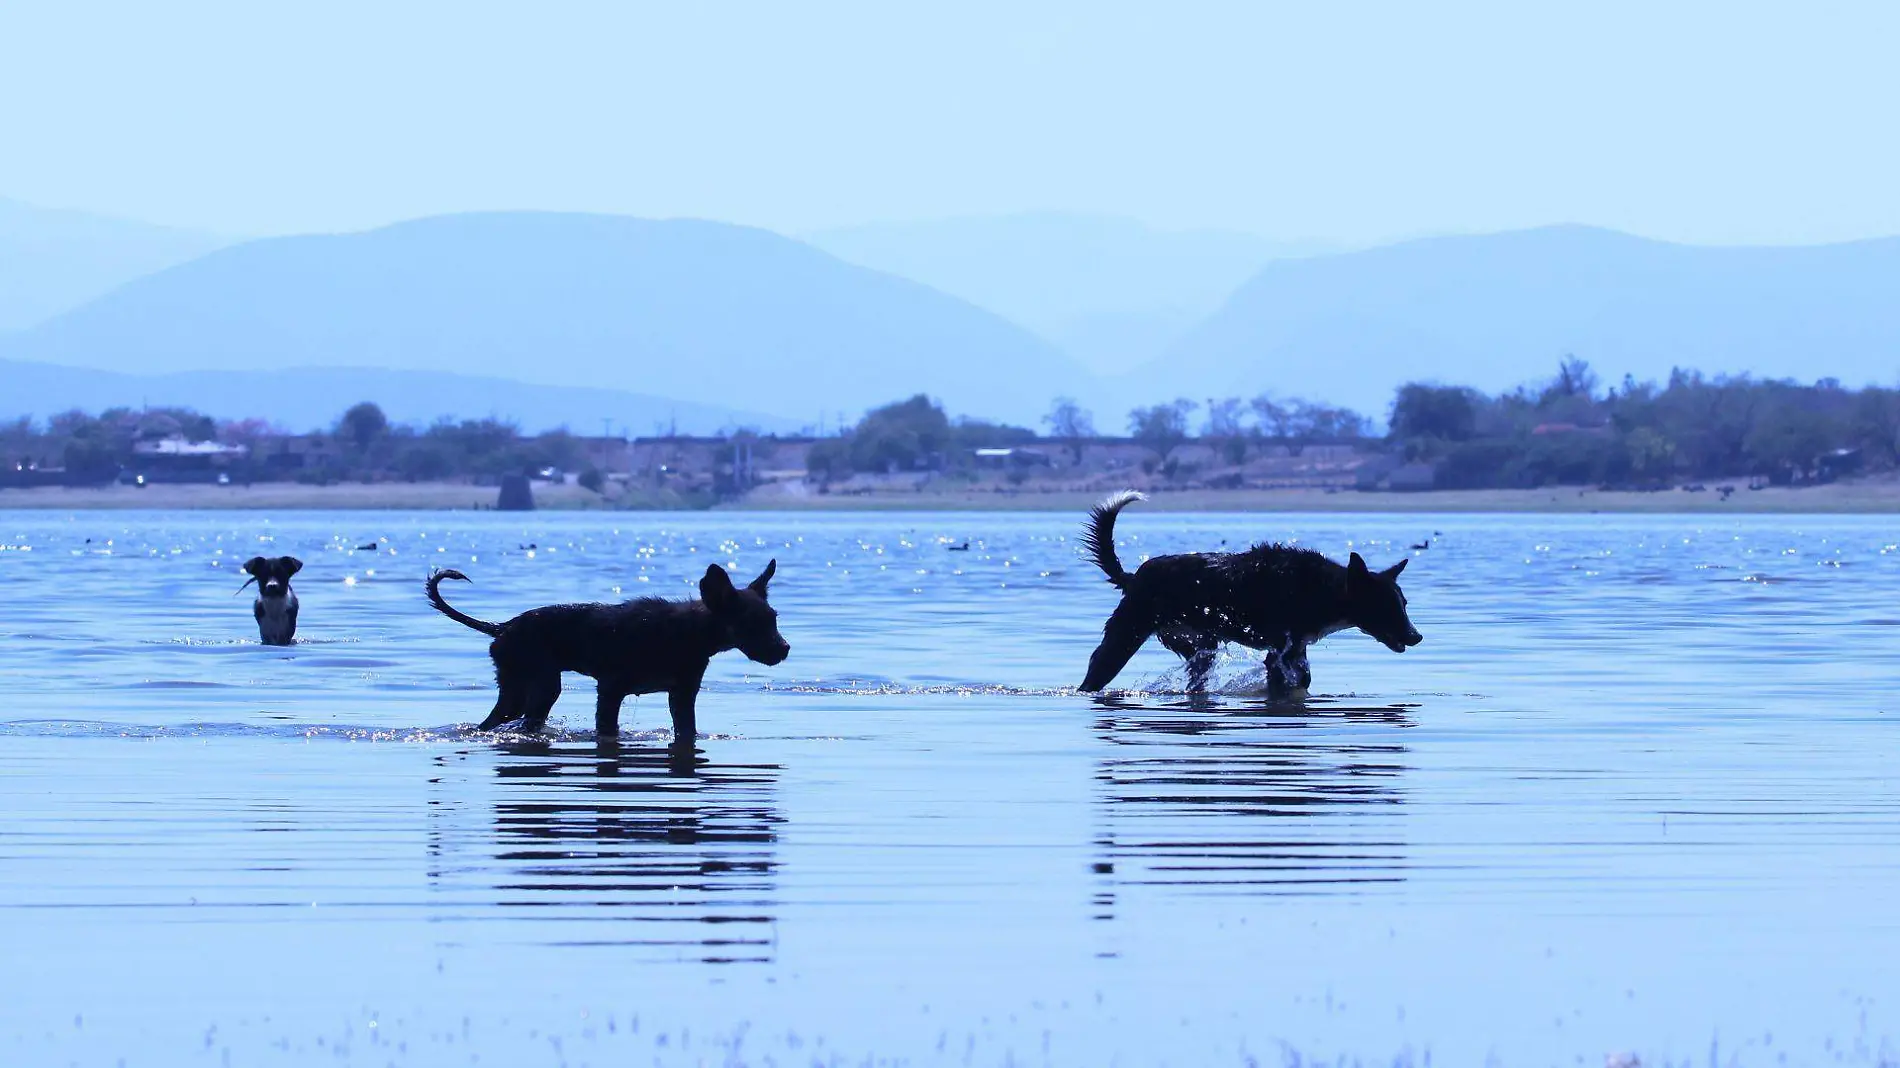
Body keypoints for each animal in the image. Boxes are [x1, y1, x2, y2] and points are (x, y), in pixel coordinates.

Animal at [427, 558, 790, 741]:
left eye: (773, 618)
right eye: (752, 624)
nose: (784, 649)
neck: (689, 633)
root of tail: (501, 627)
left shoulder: (682, 696)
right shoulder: (611, 689)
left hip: (521, 692)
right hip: (541, 686)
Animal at [1079, 494, 1421, 699]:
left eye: (1403, 604)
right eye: (1385, 605)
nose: (1416, 636)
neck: (1323, 588)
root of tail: (1133, 577)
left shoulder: (1297, 649)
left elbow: (1304, 679)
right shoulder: (1279, 651)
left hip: (1201, 648)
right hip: (1123, 640)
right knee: (1094, 673)